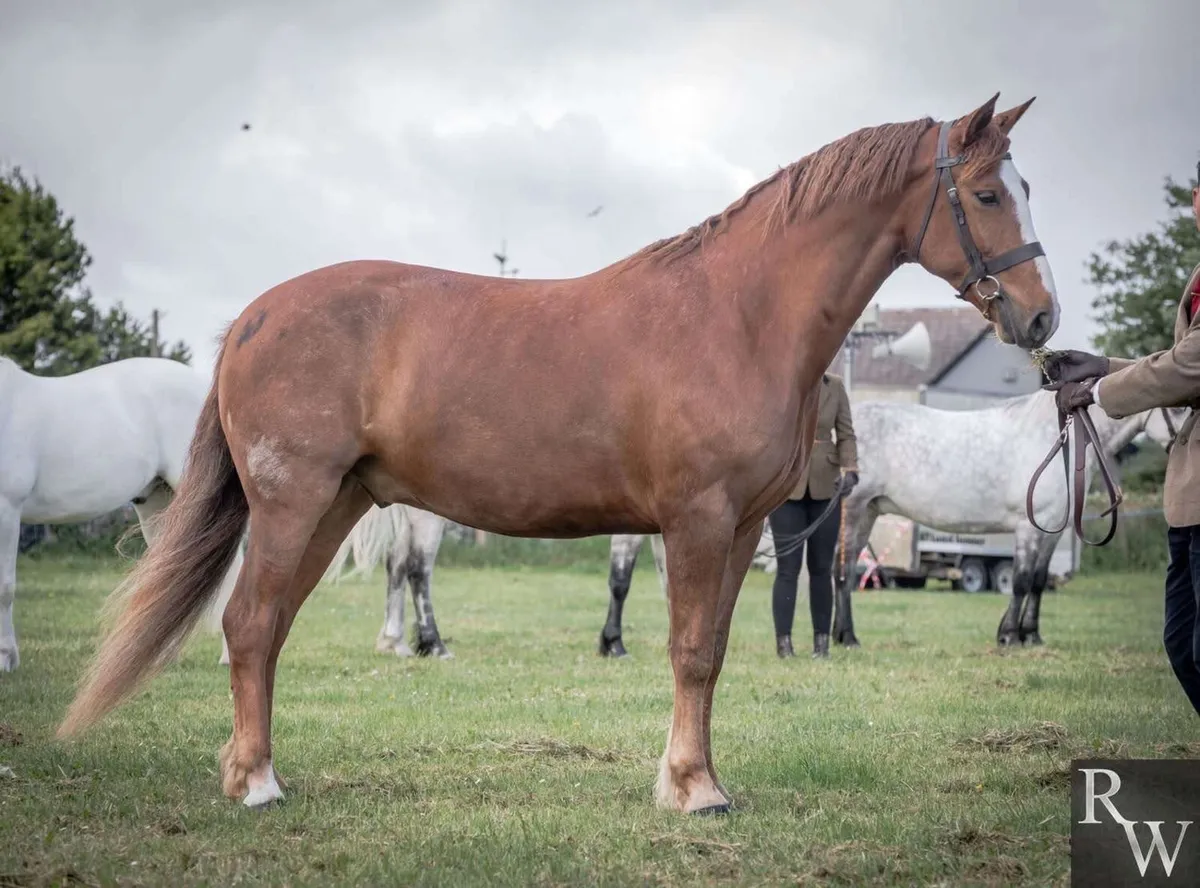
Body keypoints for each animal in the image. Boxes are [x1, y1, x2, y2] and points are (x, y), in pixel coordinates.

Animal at [831, 392, 1185, 649]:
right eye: (1178, 407)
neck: (1057, 441)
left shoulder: (1052, 530)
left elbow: (1039, 581)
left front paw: (1032, 635)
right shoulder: (1028, 527)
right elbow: (1020, 580)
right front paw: (1010, 636)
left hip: (869, 512)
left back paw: (839, 634)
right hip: (854, 509)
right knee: (844, 571)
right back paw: (848, 637)